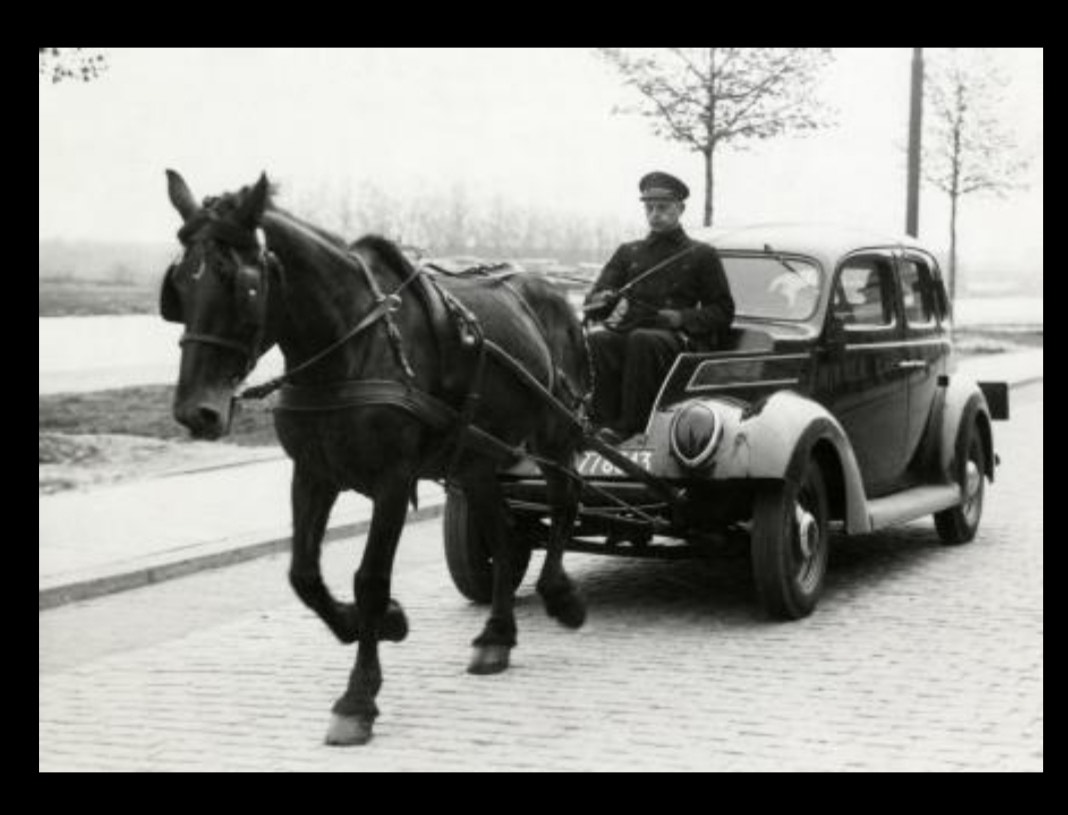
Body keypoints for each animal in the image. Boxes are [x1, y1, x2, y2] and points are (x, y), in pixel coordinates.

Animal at [158, 170, 593, 747]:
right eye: (180, 285)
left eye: (238, 284)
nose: (197, 412)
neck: (350, 346)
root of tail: (558, 294)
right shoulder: (312, 474)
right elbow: (304, 575)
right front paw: (384, 621)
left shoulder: (393, 480)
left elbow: (369, 579)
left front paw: (358, 696)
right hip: (476, 458)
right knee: (503, 533)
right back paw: (496, 635)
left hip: (554, 431)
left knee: (565, 500)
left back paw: (560, 595)